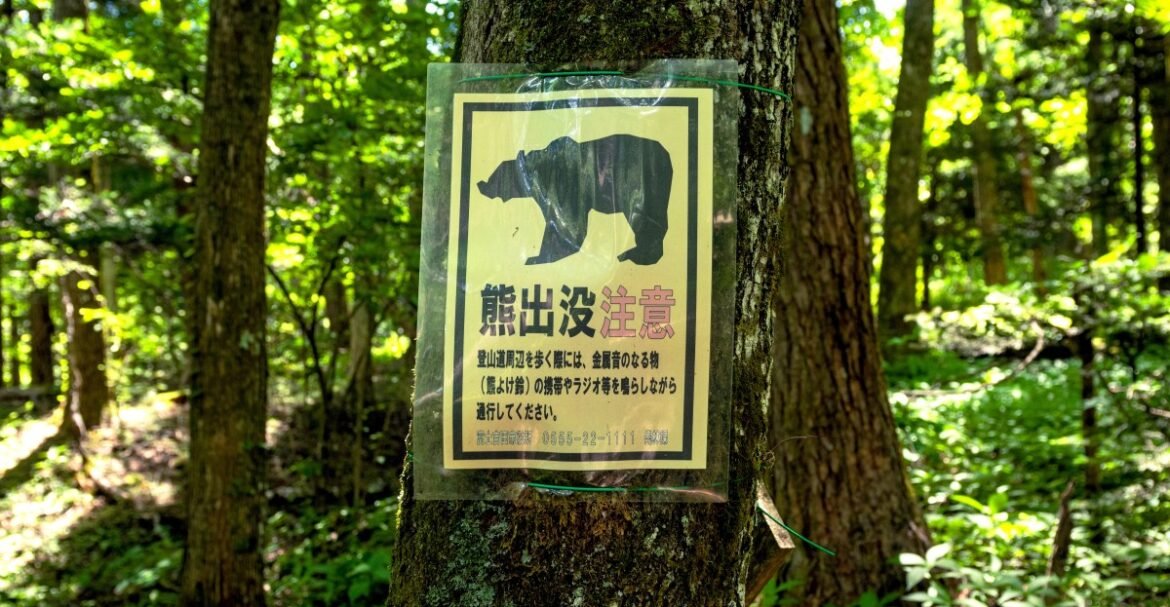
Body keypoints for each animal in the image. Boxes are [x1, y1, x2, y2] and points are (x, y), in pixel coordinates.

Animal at [476, 134, 673, 266]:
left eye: (492, 176)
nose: (480, 184)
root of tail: (666, 153)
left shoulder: (564, 184)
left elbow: (569, 226)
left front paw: (537, 257)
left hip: (639, 177)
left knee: (643, 216)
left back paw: (633, 255)